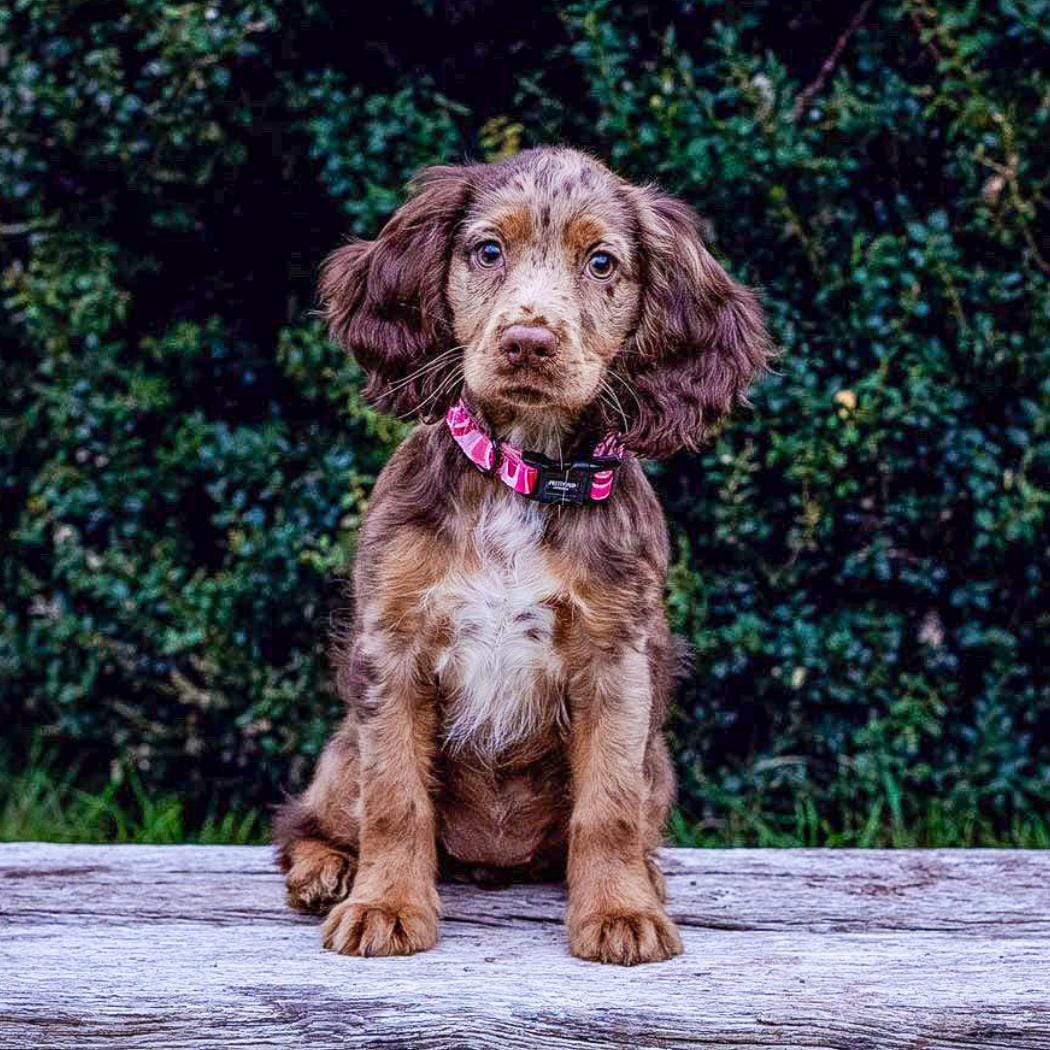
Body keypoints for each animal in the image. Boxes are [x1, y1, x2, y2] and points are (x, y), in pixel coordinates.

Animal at [275, 143, 776, 961]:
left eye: (602, 263)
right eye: (487, 251)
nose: (528, 342)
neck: (524, 473)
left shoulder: (617, 659)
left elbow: (608, 806)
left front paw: (620, 912)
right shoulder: (393, 648)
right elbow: (395, 798)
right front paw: (385, 905)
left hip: (660, 761)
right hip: (344, 742)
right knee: (311, 817)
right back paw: (325, 868)